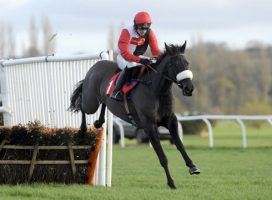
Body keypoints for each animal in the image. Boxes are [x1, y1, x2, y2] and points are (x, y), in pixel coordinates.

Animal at [69, 41, 201, 188]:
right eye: (175, 64)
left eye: (187, 63)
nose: (189, 88)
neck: (156, 91)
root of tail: (95, 66)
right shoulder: (149, 125)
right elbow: (162, 156)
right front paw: (171, 182)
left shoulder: (170, 120)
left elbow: (180, 145)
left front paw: (192, 167)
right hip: (91, 102)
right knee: (82, 105)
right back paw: (82, 130)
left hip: (101, 99)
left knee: (103, 103)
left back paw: (99, 122)